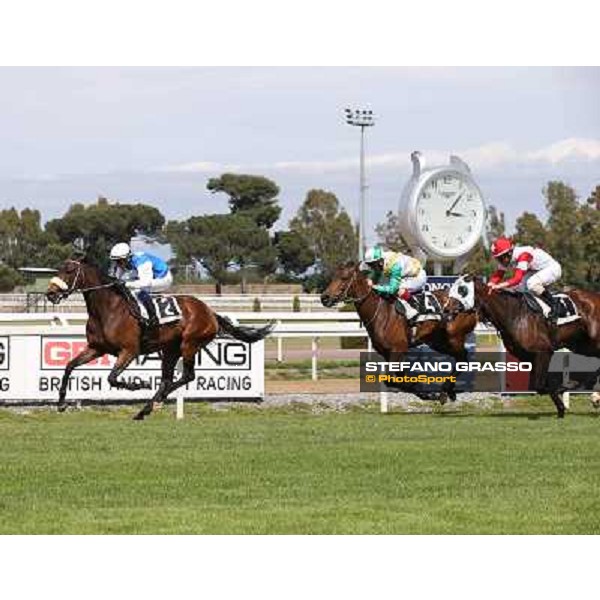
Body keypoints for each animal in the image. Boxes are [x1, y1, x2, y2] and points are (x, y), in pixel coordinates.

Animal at [45, 255, 274, 420]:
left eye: (69, 270)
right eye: (58, 269)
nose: (50, 293)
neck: (108, 309)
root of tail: (209, 312)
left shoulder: (129, 350)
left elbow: (112, 378)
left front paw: (139, 385)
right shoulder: (96, 348)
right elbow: (69, 366)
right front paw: (61, 403)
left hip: (189, 344)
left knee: (187, 376)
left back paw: (154, 402)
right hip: (170, 349)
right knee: (167, 379)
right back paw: (145, 409)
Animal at [322, 264, 476, 400]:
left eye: (344, 278)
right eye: (333, 277)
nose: (324, 298)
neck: (381, 313)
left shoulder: (398, 349)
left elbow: (390, 379)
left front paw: (426, 391)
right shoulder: (387, 353)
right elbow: (398, 378)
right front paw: (425, 393)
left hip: (454, 336)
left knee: (462, 358)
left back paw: (447, 390)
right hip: (437, 342)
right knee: (460, 358)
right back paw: (448, 391)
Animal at [442, 276, 600, 418]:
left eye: (462, 289)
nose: (446, 309)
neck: (513, 314)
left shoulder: (543, 352)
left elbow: (540, 385)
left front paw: (562, 399)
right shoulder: (528, 356)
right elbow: (541, 384)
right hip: (583, 346)